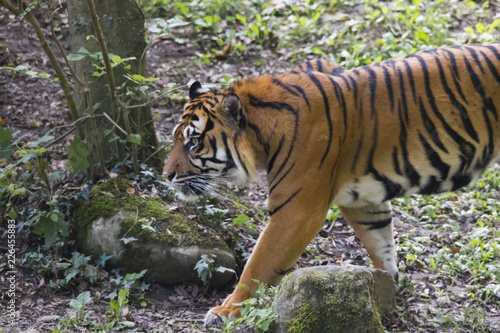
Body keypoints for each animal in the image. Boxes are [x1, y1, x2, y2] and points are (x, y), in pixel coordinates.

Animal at [164, 42, 500, 326]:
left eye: (193, 143)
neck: (262, 135)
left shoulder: (296, 210)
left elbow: (259, 264)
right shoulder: (364, 200)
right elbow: (381, 244)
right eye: (176, 139)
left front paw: (226, 310)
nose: (166, 176)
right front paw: (383, 290)